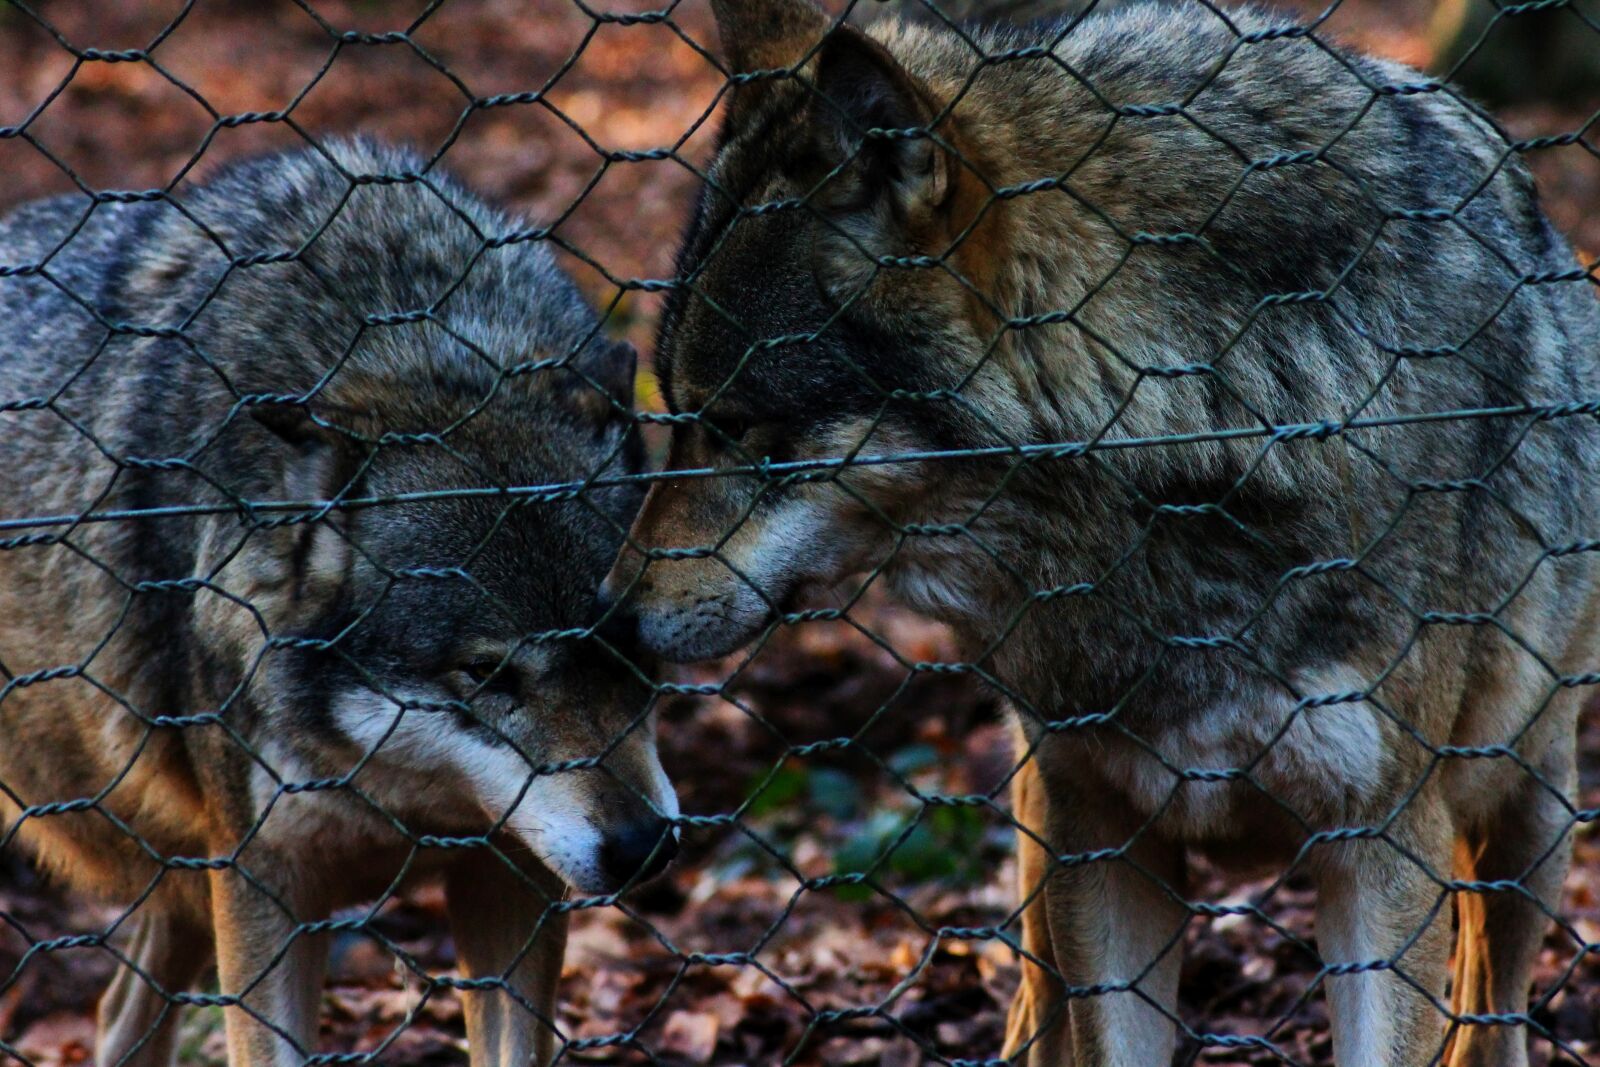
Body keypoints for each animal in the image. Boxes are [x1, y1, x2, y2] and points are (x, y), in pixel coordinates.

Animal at [0, 139, 676, 1067]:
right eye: (485, 673)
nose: (646, 847)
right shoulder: (264, 886)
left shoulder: (510, 874)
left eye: (631, 651)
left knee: (119, 1012)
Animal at [601, 2, 1600, 1064]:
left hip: (1530, 810)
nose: (607, 617)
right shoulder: (1107, 834)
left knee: (1491, 994)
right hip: (1044, 817)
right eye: (676, 413)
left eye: (734, 424)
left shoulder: (1379, 847)